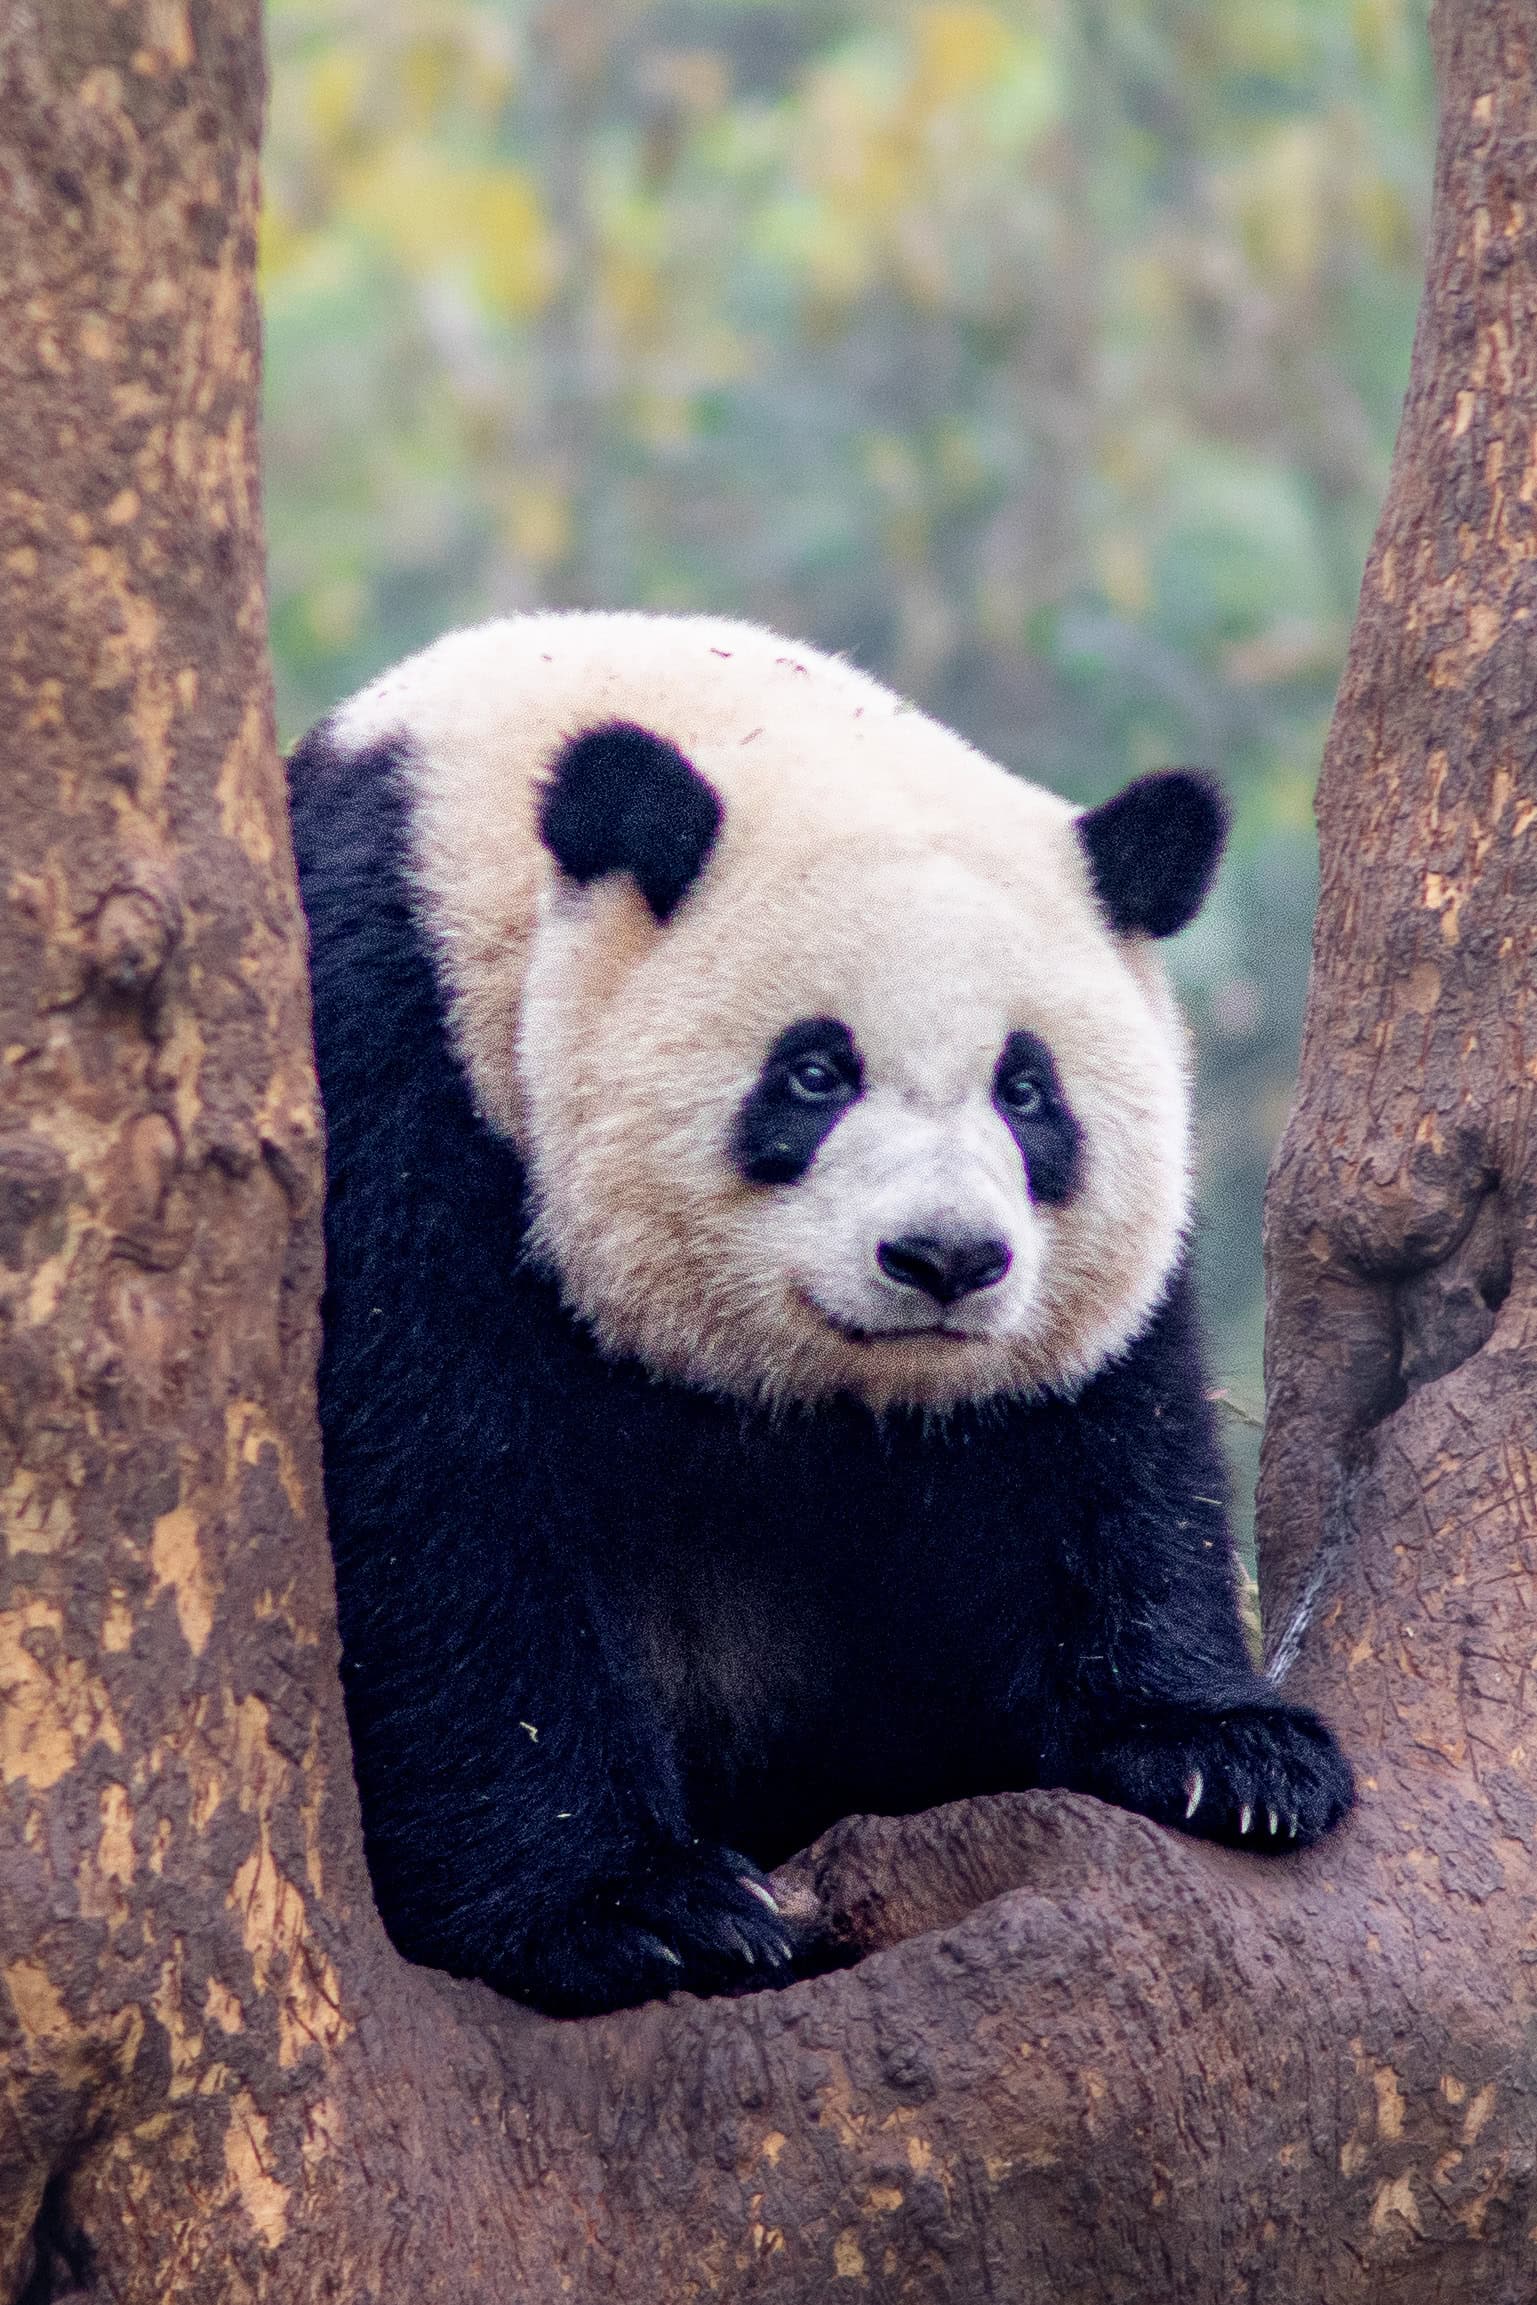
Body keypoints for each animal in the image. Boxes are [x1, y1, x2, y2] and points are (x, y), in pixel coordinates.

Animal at [287, 611, 1354, 2019]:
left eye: (1027, 1091)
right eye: (812, 1071)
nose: (944, 1258)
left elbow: (1098, 1455)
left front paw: (1225, 1755)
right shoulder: (393, 1064)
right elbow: (438, 1502)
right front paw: (643, 1908)